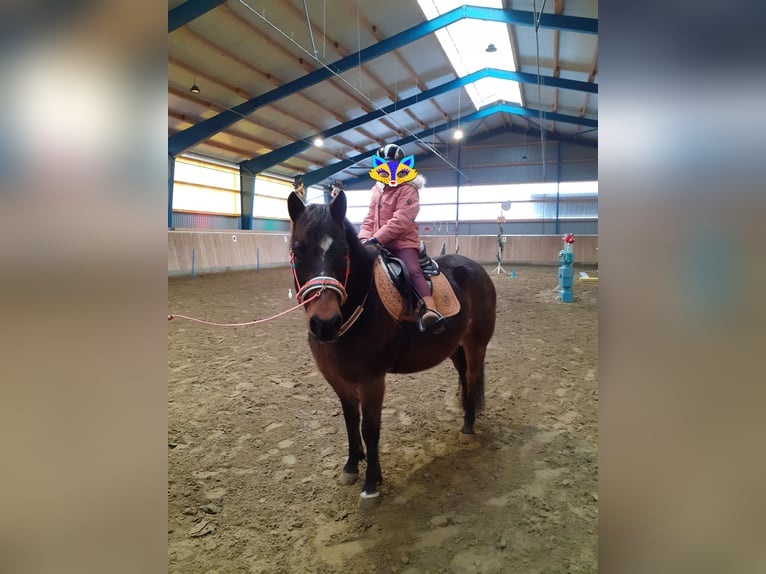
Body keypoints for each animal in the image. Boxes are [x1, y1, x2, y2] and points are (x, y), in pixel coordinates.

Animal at [287, 190, 497, 499]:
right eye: (298, 251)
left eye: (342, 252)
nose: (325, 323)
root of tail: (475, 268)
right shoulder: (338, 380)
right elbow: (350, 421)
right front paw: (352, 466)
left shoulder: (372, 381)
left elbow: (370, 429)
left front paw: (371, 482)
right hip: (454, 346)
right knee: (463, 375)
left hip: (476, 343)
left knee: (471, 377)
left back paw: (469, 426)